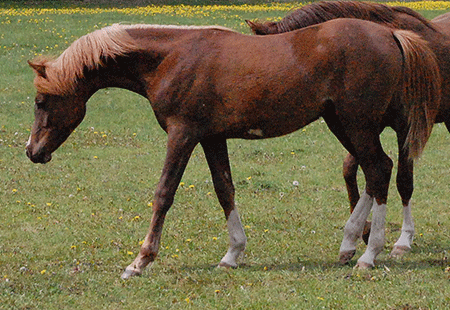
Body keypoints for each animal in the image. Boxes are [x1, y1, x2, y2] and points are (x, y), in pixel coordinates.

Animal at [25, 21, 440, 278]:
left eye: (41, 101)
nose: (32, 151)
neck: (171, 58)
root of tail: (390, 33)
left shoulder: (182, 134)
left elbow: (164, 193)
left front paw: (140, 261)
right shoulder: (211, 137)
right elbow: (224, 190)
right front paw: (232, 254)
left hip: (357, 124)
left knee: (380, 170)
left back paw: (370, 254)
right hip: (342, 122)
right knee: (375, 172)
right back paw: (351, 243)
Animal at [248, 0, 450, 262]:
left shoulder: (403, 127)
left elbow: (403, 181)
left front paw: (402, 240)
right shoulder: (362, 125)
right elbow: (355, 171)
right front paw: (363, 231)